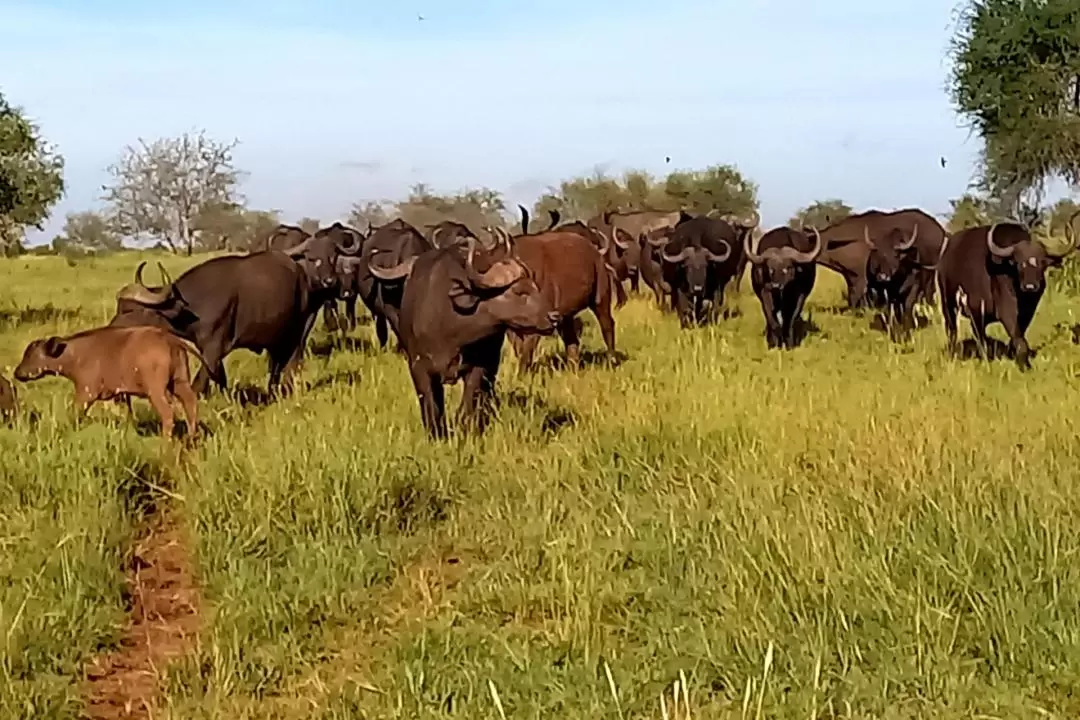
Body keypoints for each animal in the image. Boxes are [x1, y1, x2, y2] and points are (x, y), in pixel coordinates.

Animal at [14, 325, 206, 440]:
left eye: (30, 355)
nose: (17, 373)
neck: (74, 354)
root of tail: (168, 338)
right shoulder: (120, 394)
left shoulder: (85, 393)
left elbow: (75, 413)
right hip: (180, 382)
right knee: (191, 403)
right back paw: (192, 437)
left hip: (156, 392)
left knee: (168, 414)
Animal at [108, 249, 332, 397]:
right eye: (119, 308)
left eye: (131, 310)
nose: (112, 330)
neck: (190, 307)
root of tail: (302, 275)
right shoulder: (208, 350)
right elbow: (219, 378)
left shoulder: (213, 349)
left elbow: (199, 383)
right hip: (275, 337)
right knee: (276, 363)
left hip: (298, 332)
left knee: (292, 361)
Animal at [384, 236, 561, 440]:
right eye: (519, 291)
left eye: (535, 287)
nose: (554, 317)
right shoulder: (418, 366)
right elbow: (430, 404)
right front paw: (437, 435)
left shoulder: (480, 365)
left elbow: (469, 401)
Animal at [933, 221, 1075, 369]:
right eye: (1019, 263)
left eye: (1042, 262)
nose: (1030, 287)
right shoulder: (1007, 311)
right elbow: (1018, 336)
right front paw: (1025, 365)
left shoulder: (1028, 312)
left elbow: (1019, 333)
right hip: (948, 305)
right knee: (952, 330)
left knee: (978, 332)